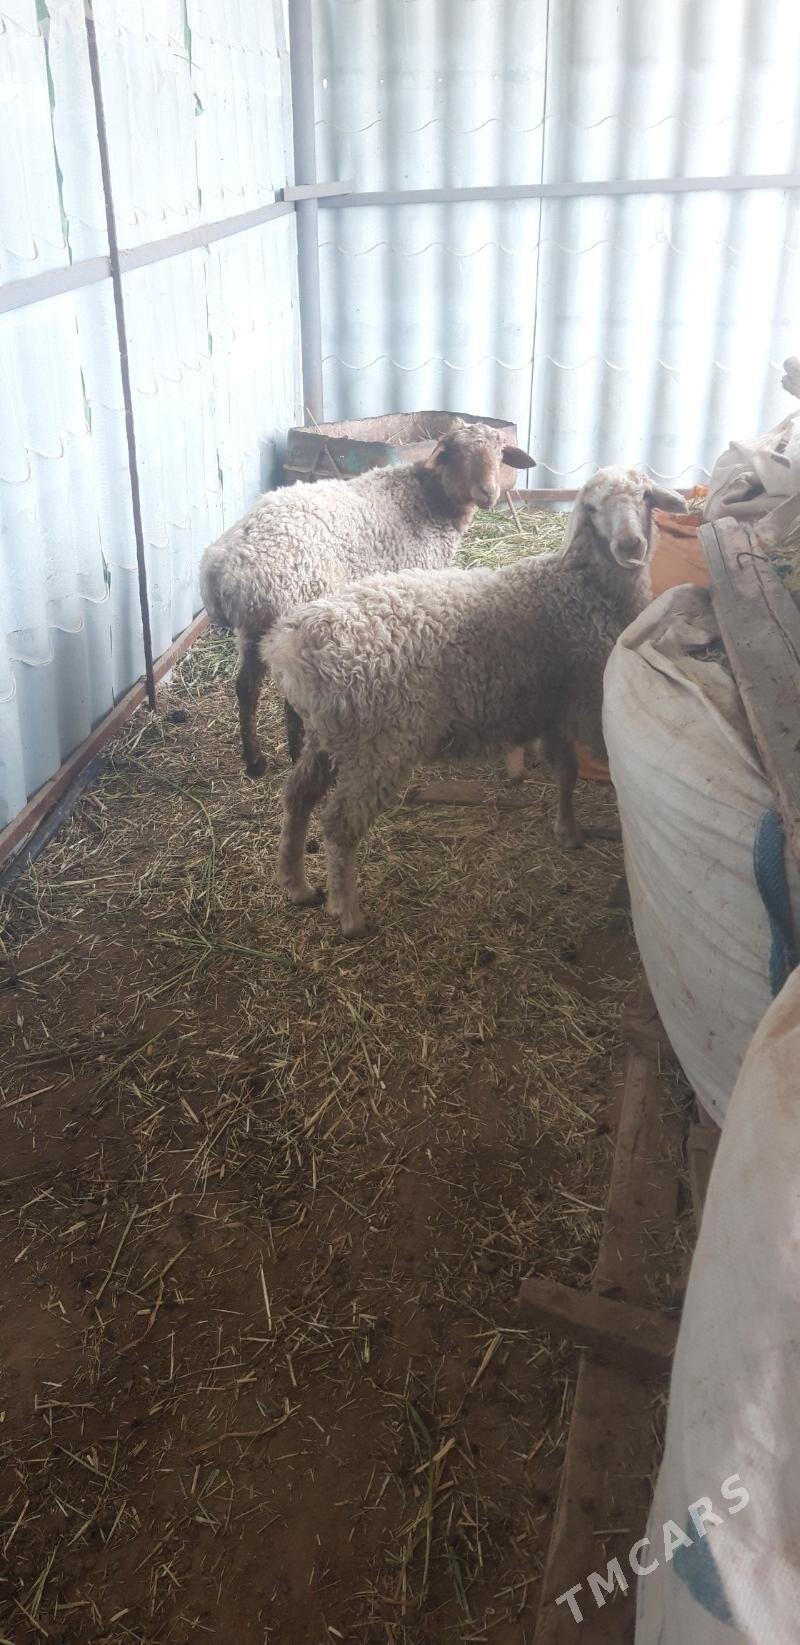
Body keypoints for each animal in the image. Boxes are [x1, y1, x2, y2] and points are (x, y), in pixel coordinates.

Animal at [199, 422, 534, 777]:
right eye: (455, 452)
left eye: (500, 452)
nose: (488, 493)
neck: (429, 498)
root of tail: (222, 566)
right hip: (287, 609)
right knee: (288, 698)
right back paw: (295, 752)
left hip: (252, 628)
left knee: (246, 688)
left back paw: (255, 762)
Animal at [263, 468, 687, 937]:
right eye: (592, 509)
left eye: (645, 497)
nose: (630, 545)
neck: (581, 586)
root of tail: (292, 645)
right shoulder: (588, 702)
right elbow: (594, 769)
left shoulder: (552, 705)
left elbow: (566, 771)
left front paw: (567, 831)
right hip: (379, 741)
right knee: (340, 825)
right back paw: (348, 914)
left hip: (329, 735)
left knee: (297, 795)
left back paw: (296, 884)